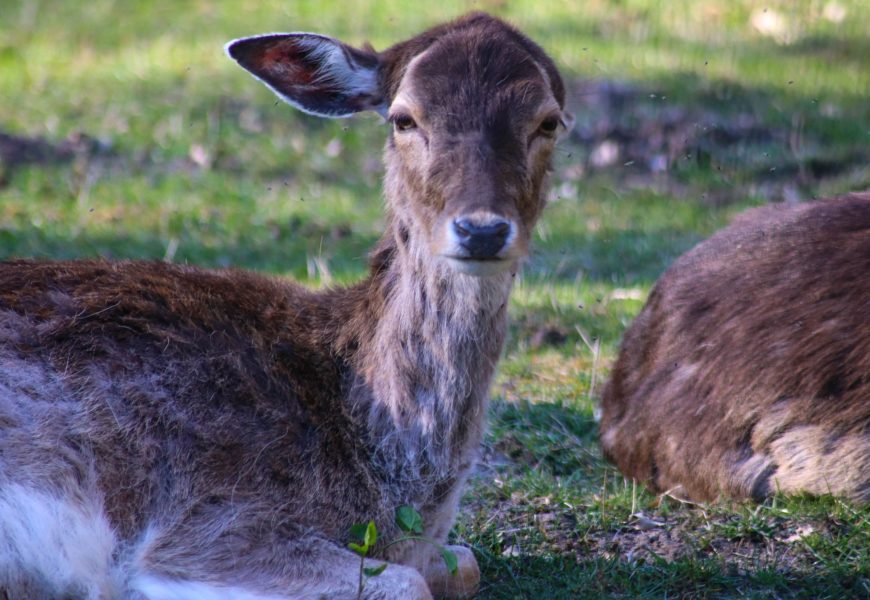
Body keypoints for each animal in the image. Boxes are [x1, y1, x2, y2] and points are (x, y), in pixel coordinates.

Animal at [0, 10, 572, 600]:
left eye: (549, 121)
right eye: (404, 118)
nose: (481, 230)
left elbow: (463, 563)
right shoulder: (208, 523)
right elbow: (411, 582)